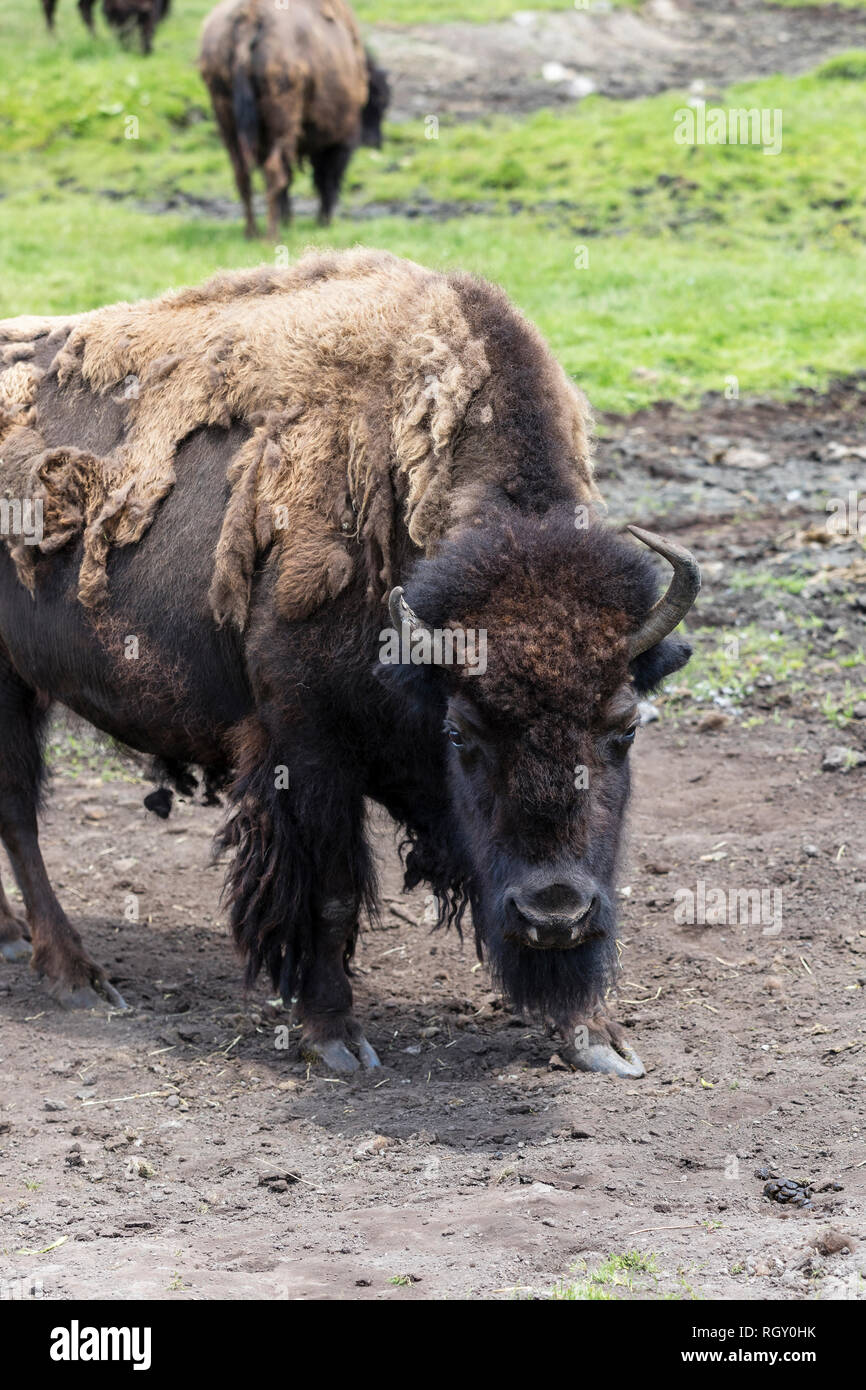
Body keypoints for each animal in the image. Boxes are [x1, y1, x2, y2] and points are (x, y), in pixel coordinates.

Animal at [0, 249, 699, 1077]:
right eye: (463, 734)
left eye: (625, 728)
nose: (554, 913)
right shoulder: (307, 748)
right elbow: (329, 893)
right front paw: (335, 1037)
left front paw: (597, 1035)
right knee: (18, 813)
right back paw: (76, 975)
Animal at [199, 0, 390, 237]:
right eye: (380, 103)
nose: (376, 142)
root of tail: (250, 17)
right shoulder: (341, 139)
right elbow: (326, 178)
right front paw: (323, 220)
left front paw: (290, 220)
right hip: (283, 120)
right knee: (275, 172)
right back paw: (272, 235)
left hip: (226, 119)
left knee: (243, 174)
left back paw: (252, 232)